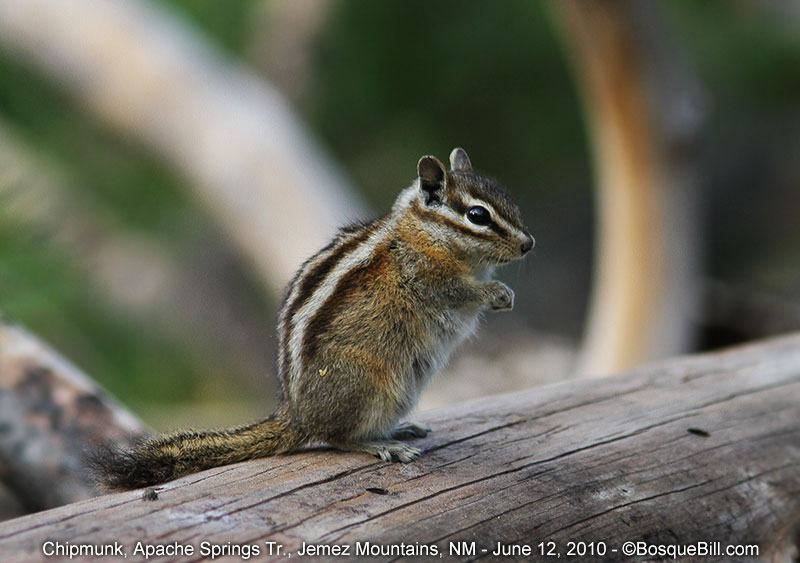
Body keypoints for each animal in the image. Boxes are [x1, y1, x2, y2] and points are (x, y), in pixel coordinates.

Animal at [90, 148, 533, 490]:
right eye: (477, 215)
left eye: (509, 201)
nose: (529, 244)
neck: (426, 232)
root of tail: (296, 415)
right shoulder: (426, 275)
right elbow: (457, 291)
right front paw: (496, 294)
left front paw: (504, 294)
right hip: (370, 384)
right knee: (337, 438)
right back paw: (381, 444)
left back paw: (399, 429)